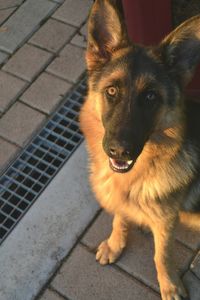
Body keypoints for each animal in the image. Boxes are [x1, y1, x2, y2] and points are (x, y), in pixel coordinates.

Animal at [79, 1, 200, 298]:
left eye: (150, 96)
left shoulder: (166, 222)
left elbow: (162, 255)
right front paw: (115, 244)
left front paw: (169, 285)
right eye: (111, 91)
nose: (119, 151)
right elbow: (119, 218)